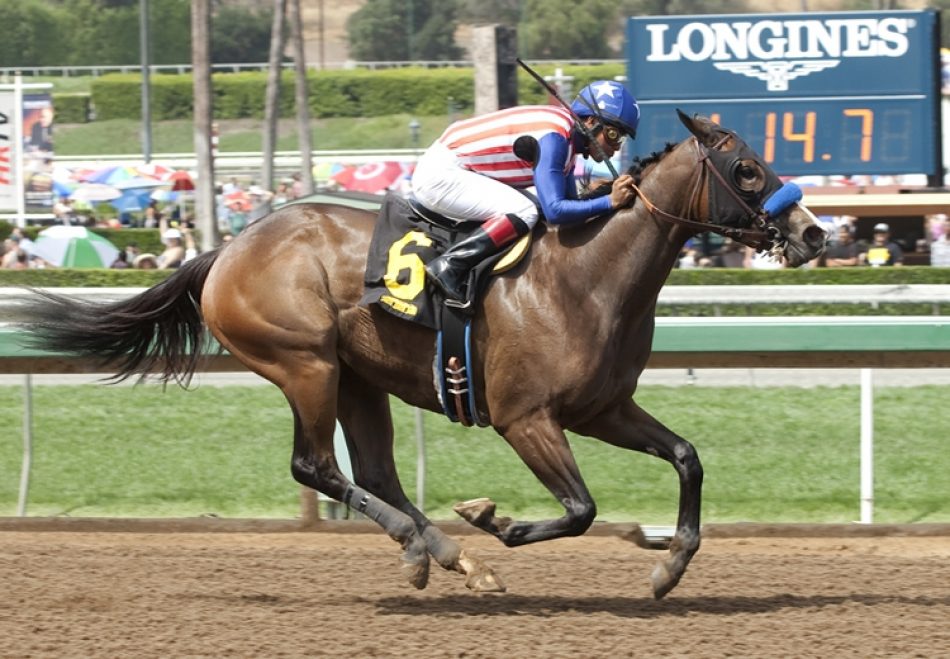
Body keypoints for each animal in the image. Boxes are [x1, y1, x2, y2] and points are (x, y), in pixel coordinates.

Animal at [18, 112, 825, 599]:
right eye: (746, 169)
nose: (815, 233)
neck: (586, 275)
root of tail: (228, 248)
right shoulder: (527, 418)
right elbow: (580, 508)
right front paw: (495, 520)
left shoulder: (602, 407)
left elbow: (687, 457)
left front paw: (668, 567)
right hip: (305, 363)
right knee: (316, 465)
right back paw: (432, 545)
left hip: (356, 377)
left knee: (373, 471)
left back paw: (448, 554)